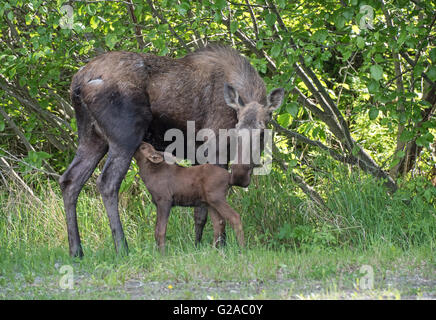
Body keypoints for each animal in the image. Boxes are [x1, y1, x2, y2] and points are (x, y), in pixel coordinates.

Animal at [58, 44, 282, 258]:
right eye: (236, 129)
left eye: (262, 132)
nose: (241, 173)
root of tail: (77, 83)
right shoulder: (213, 150)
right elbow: (215, 214)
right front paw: (220, 246)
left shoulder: (198, 156)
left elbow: (200, 213)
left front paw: (197, 245)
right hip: (125, 136)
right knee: (107, 182)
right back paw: (122, 248)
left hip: (92, 137)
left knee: (70, 180)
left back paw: (76, 251)